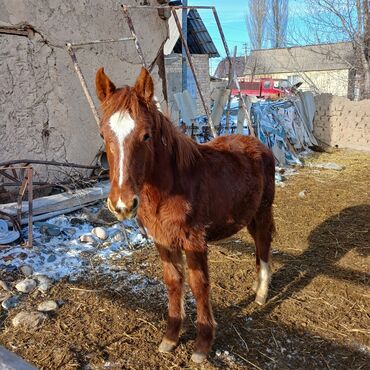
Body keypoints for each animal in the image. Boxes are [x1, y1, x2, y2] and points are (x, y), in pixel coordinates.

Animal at [95, 67, 274, 364]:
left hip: (263, 211)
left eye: (146, 135)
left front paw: (202, 344)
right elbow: (173, 281)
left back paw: (261, 293)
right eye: (102, 135)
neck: (171, 188)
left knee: (264, 243)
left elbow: (199, 285)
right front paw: (170, 337)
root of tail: (256, 142)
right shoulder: (163, 239)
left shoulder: (194, 240)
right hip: (248, 214)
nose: (122, 204)